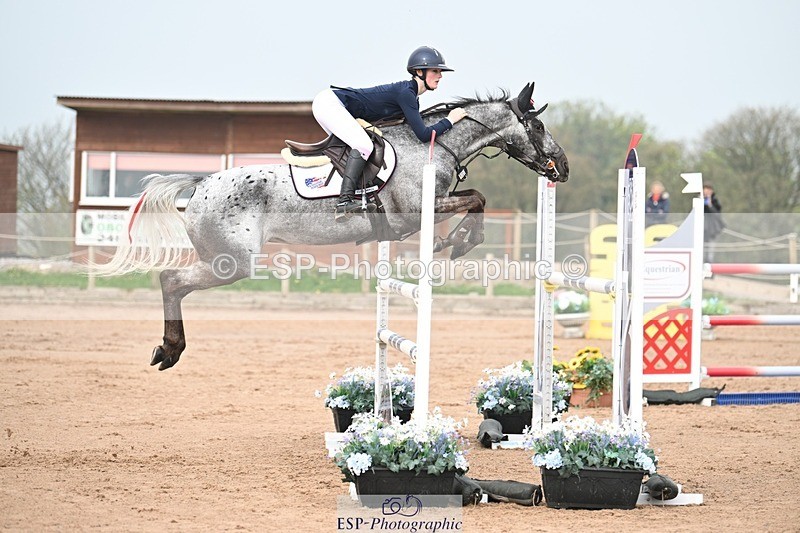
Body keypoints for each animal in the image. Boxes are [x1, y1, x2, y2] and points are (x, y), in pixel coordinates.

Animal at [100, 82, 570, 370]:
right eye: (538, 124)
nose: (562, 168)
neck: (432, 145)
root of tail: (201, 183)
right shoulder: (417, 211)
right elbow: (476, 200)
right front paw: (457, 242)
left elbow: (477, 198)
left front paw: (455, 242)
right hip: (231, 261)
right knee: (171, 279)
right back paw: (170, 349)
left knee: (173, 280)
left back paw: (169, 349)